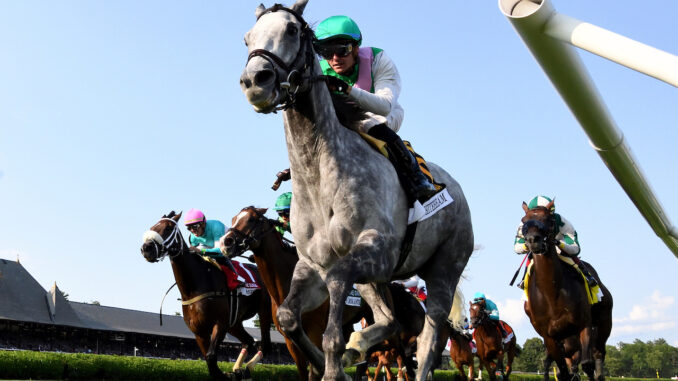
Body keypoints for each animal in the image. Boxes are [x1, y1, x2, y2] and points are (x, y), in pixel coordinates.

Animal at [141, 212, 274, 378]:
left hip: (264, 312)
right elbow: (209, 362)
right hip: (234, 323)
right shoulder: (199, 332)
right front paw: (227, 374)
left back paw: (247, 368)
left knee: (265, 345)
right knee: (249, 341)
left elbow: (211, 357)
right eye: (153, 227)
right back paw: (238, 369)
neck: (195, 285)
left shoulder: (220, 323)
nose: (146, 248)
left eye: (168, 228)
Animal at [223, 205, 424, 380]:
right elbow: (304, 371)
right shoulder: (291, 341)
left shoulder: (315, 331)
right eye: (233, 219)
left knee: (398, 349)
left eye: (251, 219)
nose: (226, 242)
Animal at [242, 1, 476, 378]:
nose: (255, 81)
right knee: (389, 319)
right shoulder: (312, 265)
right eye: (248, 38)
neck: (319, 176)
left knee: (428, 340)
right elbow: (288, 317)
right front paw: (333, 362)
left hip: (444, 268)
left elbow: (333, 321)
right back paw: (358, 347)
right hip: (375, 279)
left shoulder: (375, 250)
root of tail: (456, 188)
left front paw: (334, 364)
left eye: (292, 30)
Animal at [520, 200, 616, 380]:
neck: (552, 293)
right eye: (524, 221)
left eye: (550, 220)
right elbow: (563, 371)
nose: (532, 240)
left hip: (604, 322)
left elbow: (587, 365)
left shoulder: (584, 325)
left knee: (598, 354)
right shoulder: (549, 337)